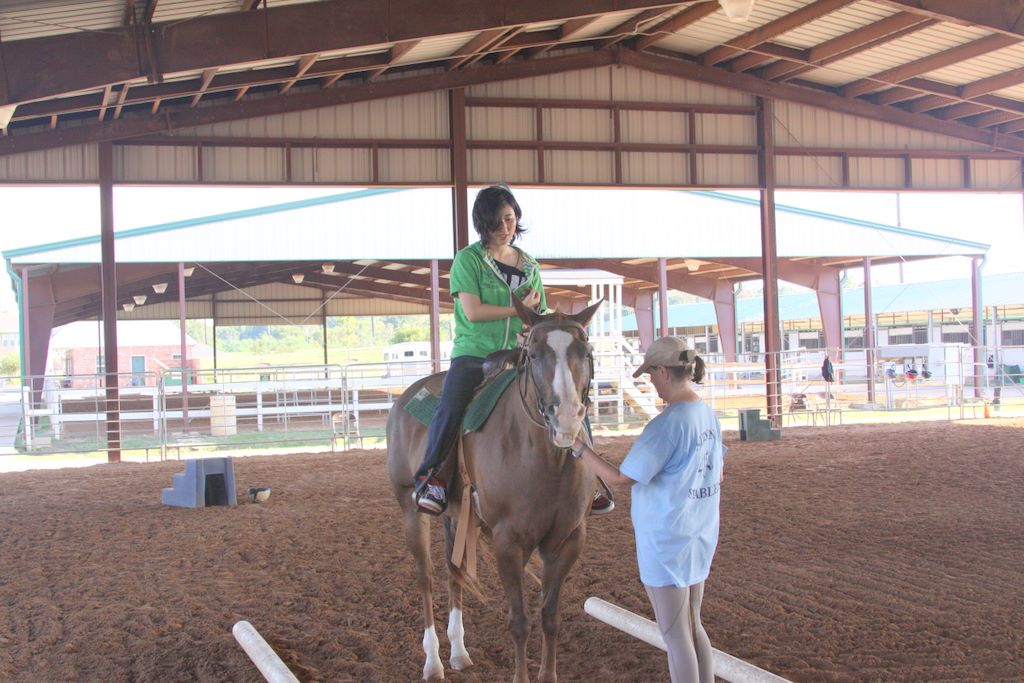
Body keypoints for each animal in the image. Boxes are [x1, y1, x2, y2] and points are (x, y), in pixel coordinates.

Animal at [386, 297, 602, 683]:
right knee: (426, 578)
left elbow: (550, 617)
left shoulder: (567, 540)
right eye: (534, 353)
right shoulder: (507, 541)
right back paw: (433, 662)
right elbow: (519, 621)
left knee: (453, 573)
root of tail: (403, 399)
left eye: (586, 351)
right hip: (411, 510)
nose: (566, 418)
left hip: (456, 516)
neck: (543, 458)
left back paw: (459, 653)